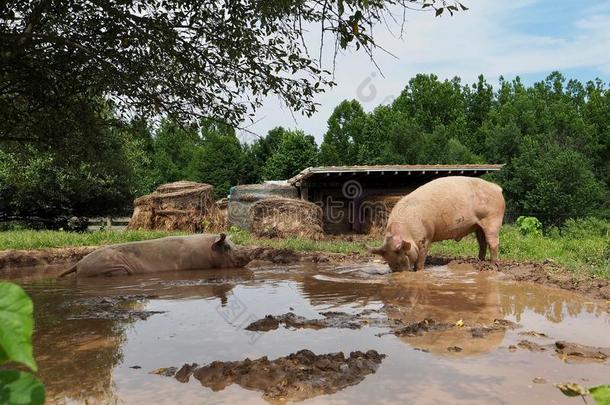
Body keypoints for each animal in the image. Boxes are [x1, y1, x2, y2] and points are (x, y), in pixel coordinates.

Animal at [370, 177, 504, 272]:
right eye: (387, 260)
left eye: (402, 256)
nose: (398, 272)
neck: (408, 232)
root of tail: (497, 188)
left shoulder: (426, 237)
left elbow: (421, 259)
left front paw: (419, 270)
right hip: (478, 225)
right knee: (482, 242)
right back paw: (479, 261)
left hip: (493, 219)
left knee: (493, 243)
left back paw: (493, 266)